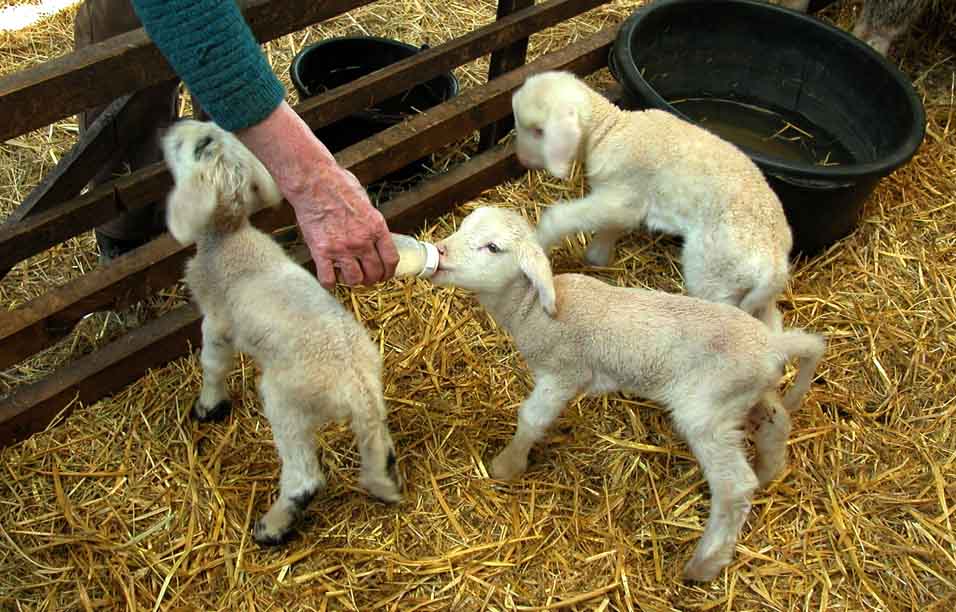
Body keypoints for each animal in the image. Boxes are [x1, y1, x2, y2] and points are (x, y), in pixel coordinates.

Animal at [162, 118, 402, 544]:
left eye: (199, 145)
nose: (176, 125)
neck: (227, 236)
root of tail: (356, 385)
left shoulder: (217, 321)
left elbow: (213, 364)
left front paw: (209, 406)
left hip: (287, 401)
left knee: (304, 478)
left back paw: (272, 528)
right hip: (369, 407)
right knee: (378, 446)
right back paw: (382, 484)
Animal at [430, 207, 824, 584]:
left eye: (493, 248)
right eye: (463, 226)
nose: (440, 251)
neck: (530, 310)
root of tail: (773, 344)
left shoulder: (563, 373)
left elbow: (531, 419)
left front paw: (506, 466)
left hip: (707, 411)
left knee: (735, 487)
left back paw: (705, 564)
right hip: (745, 394)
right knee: (777, 423)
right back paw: (769, 471)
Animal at [516, 70, 792, 330]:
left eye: (538, 131)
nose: (521, 160)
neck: (609, 130)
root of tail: (776, 266)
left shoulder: (622, 194)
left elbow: (561, 217)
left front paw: (539, 242)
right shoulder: (625, 201)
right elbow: (612, 227)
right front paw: (597, 257)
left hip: (713, 275)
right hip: (748, 292)